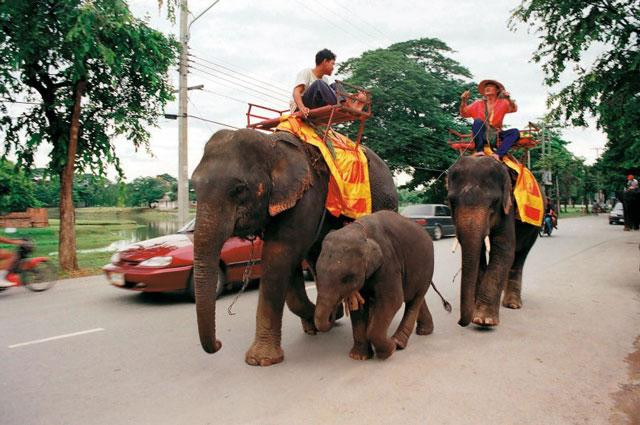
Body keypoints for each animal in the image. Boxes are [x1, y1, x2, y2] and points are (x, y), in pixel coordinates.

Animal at [192, 127, 398, 366]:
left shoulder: (305, 197)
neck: (270, 142)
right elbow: (287, 264)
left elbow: (280, 255)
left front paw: (260, 360)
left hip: (385, 200)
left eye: (239, 189)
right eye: (194, 186)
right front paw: (321, 319)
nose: (218, 344)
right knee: (317, 256)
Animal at [312, 209, 448, 358]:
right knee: (414, 298)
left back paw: (399, 343)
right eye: (317, 273)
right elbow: (359, 308)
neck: (360, 231)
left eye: (346, 278)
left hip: (426, 266)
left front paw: (390, 350)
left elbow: (392, 300)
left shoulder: (388, 262)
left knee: (415, 299)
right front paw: (358, 357)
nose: (333, 316)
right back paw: (424, 332)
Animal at [444, 155, 540, 324]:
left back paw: (512, 304)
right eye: (452, 202)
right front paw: (476, 309)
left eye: (493, 203)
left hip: (534, 228)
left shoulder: (508, 207)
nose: (460, 322)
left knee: (520, 255)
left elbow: (504, 249)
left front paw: (483, 320)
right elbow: (479, 255)